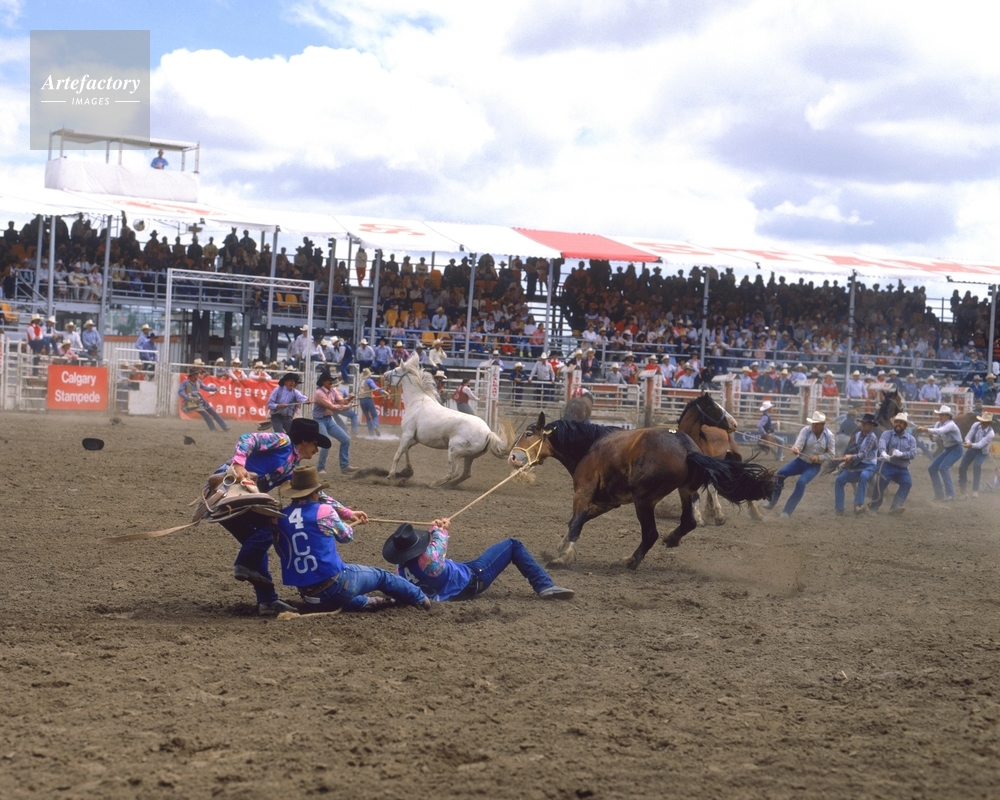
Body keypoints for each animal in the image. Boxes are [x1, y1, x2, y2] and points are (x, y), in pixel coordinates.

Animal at [384, 354, 516, 487]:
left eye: (396, 370)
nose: (384, 374)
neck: (417, 401)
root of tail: (488, 433)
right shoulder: (415, 438)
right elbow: (406, 450)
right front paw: (407, 471)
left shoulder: (407, 434)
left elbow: (398, 454)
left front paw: (391, 475)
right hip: (470, 456)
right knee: (466, 474)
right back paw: (449, 485)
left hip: (454, 450)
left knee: (453, 472)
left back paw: (434, 484)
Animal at [509, 413, 779, 571]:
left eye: (528, 434)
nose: (512, 456)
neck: (590, 446)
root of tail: (688, 448)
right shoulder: (607, 502)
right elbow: (576, 521)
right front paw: (561, 547)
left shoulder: (583, 492)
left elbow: (576, 522)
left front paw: (563, 557)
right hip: (685, 490)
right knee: (688, 522)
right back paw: (672, 538)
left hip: (644, 500)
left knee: (650, 534)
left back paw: (630, 560)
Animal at [675, 392, 765, 525]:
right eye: (714, 408)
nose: (734, 424)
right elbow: (695, 493)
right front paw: (698, 518)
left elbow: (712, 489)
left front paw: (720, 517)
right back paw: (708, 511)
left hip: (735, 460)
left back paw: (756, 514)